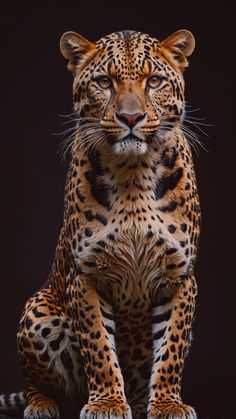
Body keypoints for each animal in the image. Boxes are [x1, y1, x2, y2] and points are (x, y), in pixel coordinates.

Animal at [0, 29, 201, 419]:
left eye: (154, 81)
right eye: (104, 82)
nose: (131, 117)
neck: (133, 175)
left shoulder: (180, 275)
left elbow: (170, 349)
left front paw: (167, 404)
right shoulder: (86, 274)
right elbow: (98, 346)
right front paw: (107, 402)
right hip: (37, 311)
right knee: (38, 382)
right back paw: (42, 403)